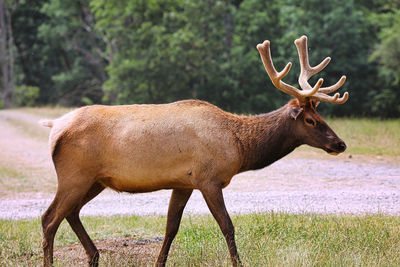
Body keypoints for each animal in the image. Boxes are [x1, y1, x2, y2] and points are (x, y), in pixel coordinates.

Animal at [39, 36, 348, 267]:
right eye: (311, 120)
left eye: (321, 115)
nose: (340, 144)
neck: (238, 147)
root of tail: (55, 127)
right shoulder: (208, 179)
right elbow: (227, 225)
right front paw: (238, 262)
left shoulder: (183, 183)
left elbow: (171, 227)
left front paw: (159, 263)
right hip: (75, 175)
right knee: (49, 218)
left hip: (95, 180)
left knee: (71, 212)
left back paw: (94, 256)